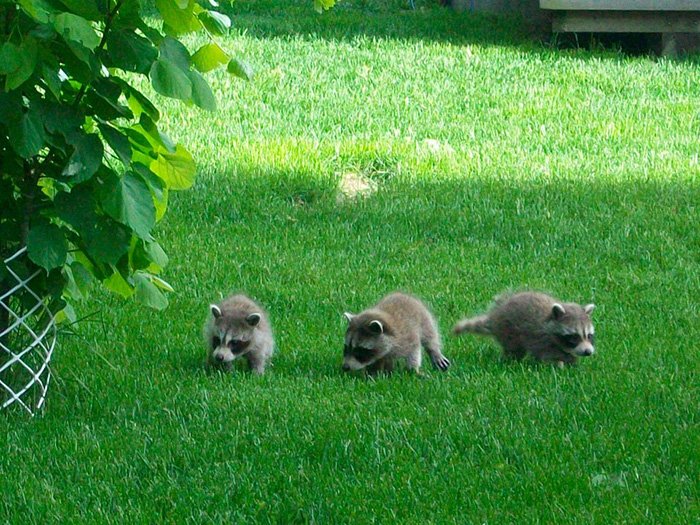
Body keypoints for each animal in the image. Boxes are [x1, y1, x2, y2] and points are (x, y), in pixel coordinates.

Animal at [452, 291, 595, 367]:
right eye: (574, 336)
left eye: (589, 335)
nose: (588, 352)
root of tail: (495, 317)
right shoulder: (540, 337)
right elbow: (548, 353)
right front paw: (565, 360)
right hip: (509, 330)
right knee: (514, 350)